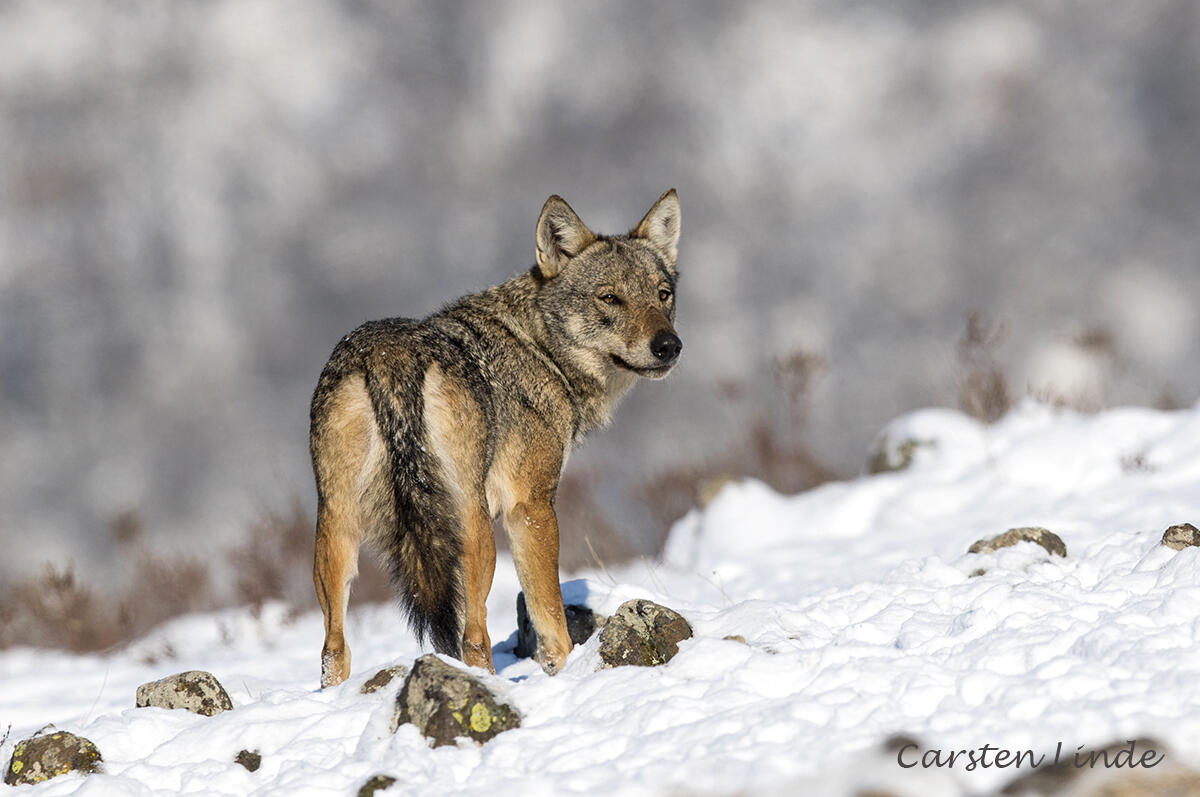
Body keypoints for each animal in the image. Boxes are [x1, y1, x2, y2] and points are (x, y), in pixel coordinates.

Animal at [309, 189, 682, 687]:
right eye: (610, 298)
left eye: (663, 295)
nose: (669, 346)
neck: (539, 350)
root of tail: (389, 354)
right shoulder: (531, 507)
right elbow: (550, 617)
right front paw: (564, 673)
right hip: (474, 526)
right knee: (474, 636)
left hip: (337, 524)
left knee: (333, 648)